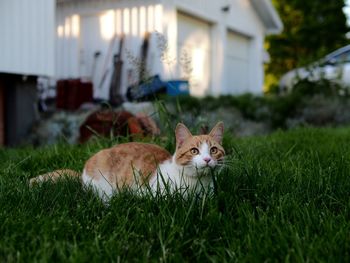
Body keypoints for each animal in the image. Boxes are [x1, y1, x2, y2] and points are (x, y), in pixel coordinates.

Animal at [30, 122, 227, 201]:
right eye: (194, 151)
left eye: (213, 150)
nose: (207, 159)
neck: (197, 184)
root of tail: (83, 172)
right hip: (104, 188)